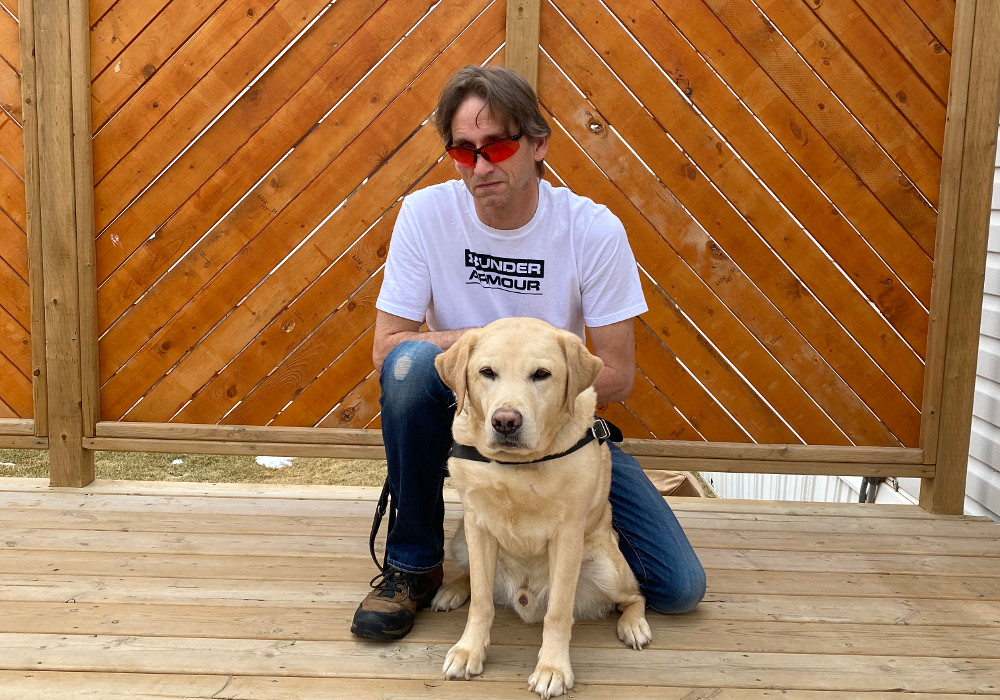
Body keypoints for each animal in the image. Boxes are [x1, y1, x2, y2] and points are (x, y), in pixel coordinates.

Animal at [432, 318, 652, 700]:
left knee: (633, 596)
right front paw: (468, 650)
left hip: (608, 566)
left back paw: (634, 625)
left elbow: (558, 613)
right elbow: (481, 602)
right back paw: (453, 589)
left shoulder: (567, 535)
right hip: (460, 538)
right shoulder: (477, 525)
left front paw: (553, 669)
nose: (505, 421)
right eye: (486, 372)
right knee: (474, 578)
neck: (517, 466)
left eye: (541, 374)